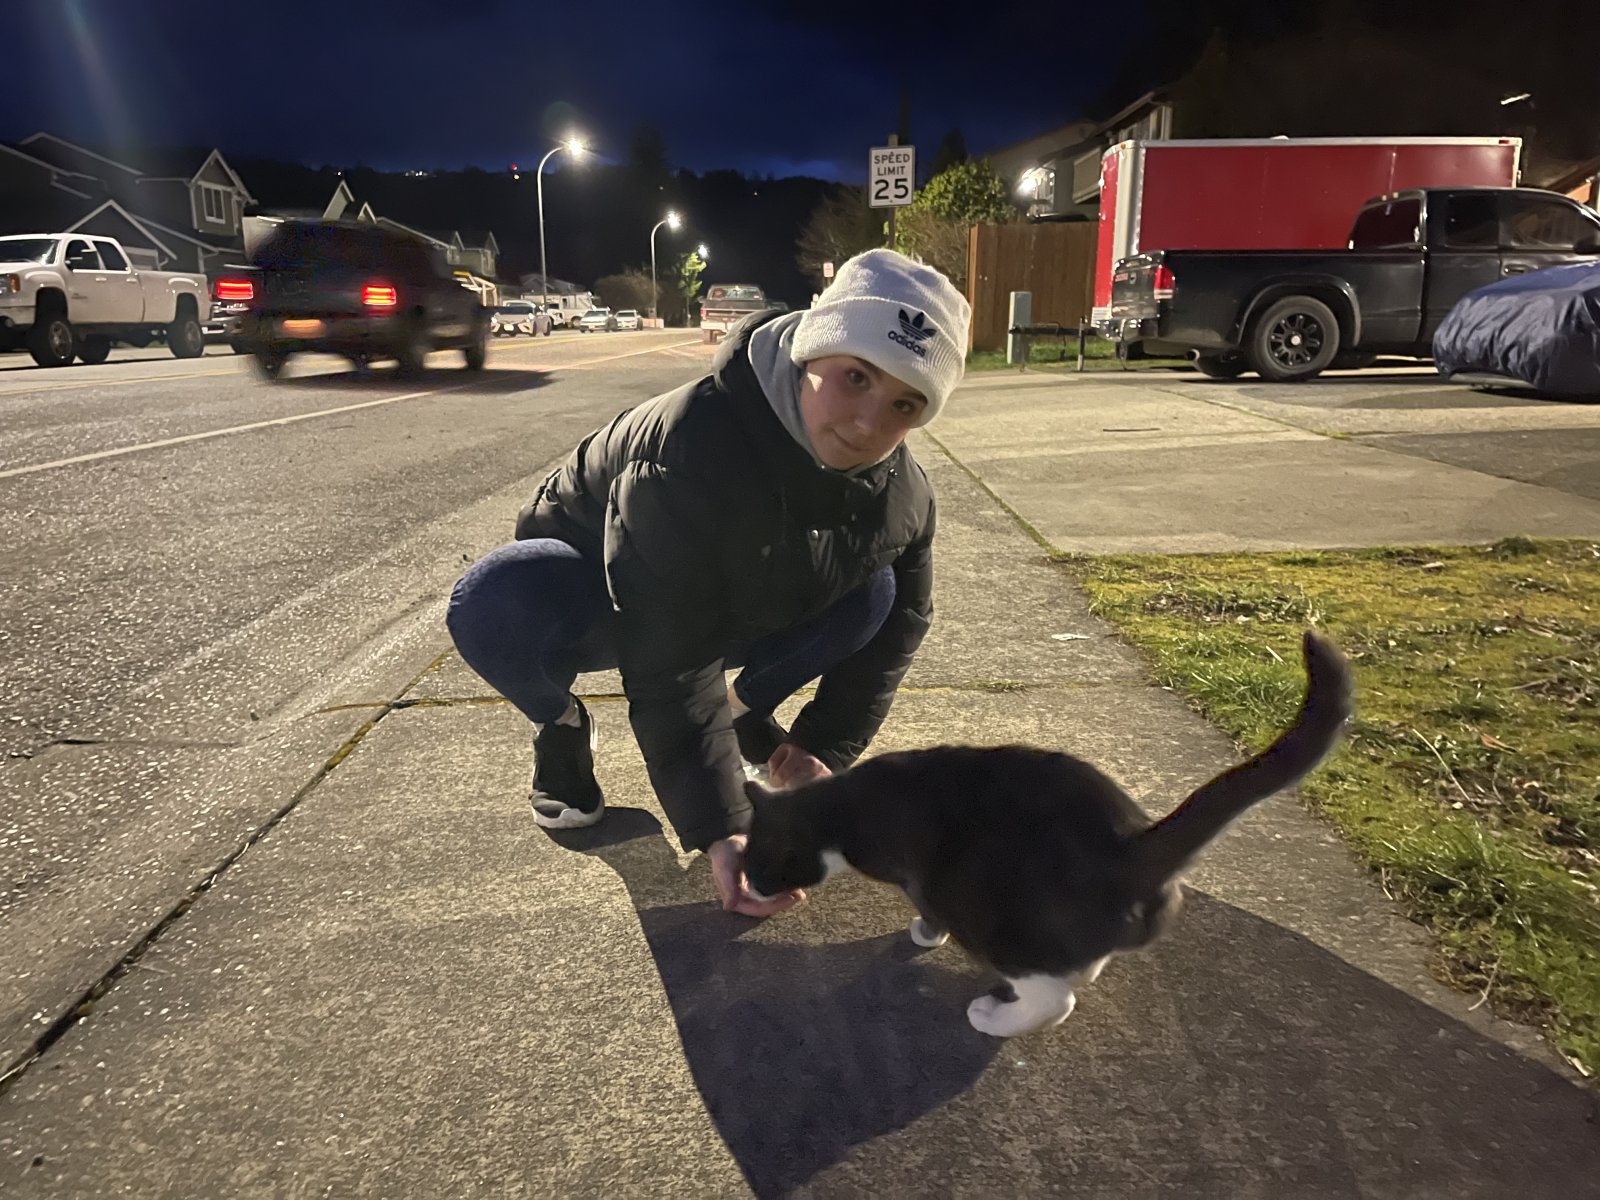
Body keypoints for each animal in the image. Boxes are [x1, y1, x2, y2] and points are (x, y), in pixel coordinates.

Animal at [740, 629, 1354, 1038]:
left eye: (761, 865)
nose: (753, 887)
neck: (837, 806)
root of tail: (1131, 846)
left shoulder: (917, 875)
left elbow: (928, 913)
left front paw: (923, 936)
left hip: (988, 907)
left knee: (1055, 1000)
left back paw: (996, 1016)